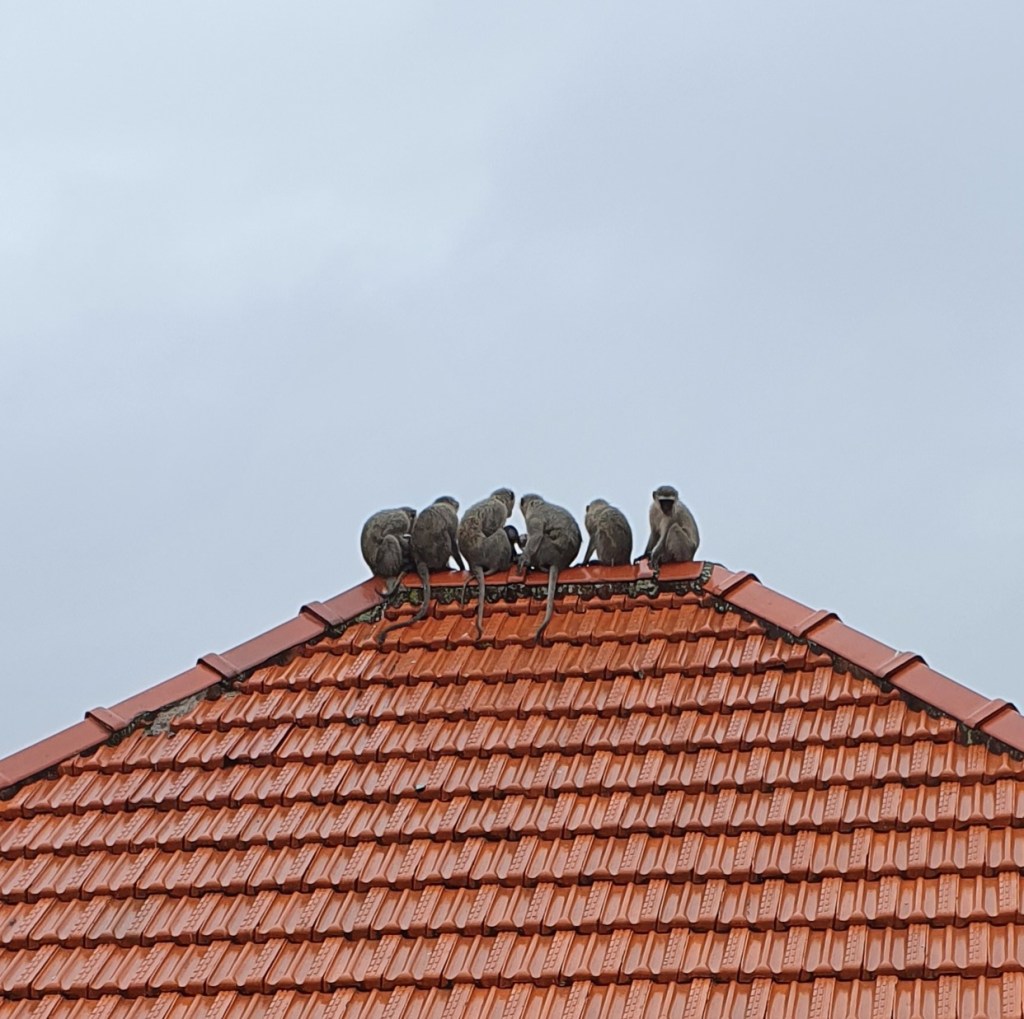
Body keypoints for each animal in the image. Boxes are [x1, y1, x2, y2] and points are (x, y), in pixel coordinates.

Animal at [378, 496, 464, 643]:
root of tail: (420, 559)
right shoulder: (452, 517)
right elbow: (453, 541)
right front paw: (462, 567)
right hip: (437, 555)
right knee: (446, 535)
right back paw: (443, 567)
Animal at [457, 488, 517, 638]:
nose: (510, 513)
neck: (496, 499)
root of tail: (473, 561)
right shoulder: (500, 509)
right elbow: (490, 529)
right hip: (487, 550)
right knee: (500, 533)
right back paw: (505, 565)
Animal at [518, 494, 582, 643]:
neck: (538, 504)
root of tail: (558, 561)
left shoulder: (533, 517)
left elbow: (536, 536)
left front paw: (524, 557)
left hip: (548, 549)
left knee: (542, 538)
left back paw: (537, 565)